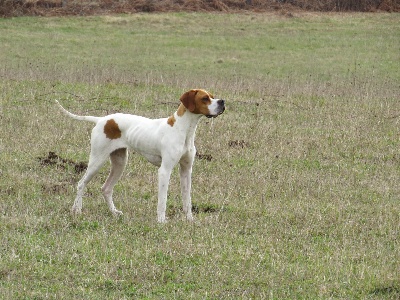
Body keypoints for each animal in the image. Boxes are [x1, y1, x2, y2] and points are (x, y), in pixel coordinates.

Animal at [56, 89, 225, 223]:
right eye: (205, 98)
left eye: (212, 96)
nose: (222, 101)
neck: (183, 130)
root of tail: (102, 119)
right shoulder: (164, 171)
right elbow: (162, 200)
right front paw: (161, 221)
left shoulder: (186, 170)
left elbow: (187, 199)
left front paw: (190, 219)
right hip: (97, 161)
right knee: (81, 183)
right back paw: (77, 210)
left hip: (120, 163)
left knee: (106, 188)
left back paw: (114, 212)